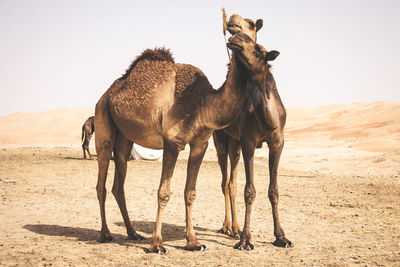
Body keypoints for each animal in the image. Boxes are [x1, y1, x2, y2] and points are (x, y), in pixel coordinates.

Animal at [94, 31, 278, 253]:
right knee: (101, 181)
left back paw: (132, 233)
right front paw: (157, 244)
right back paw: (105, 234)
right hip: (103, 118)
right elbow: (163, 192)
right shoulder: (171, 143)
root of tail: (108, 94)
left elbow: (190, 192)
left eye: (258, 49)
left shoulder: (200, 143)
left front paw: (193, 242)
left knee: (118, 183)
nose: (238, 38)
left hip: (124, 138)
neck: (203, 104)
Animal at [212, 12, 294, 249]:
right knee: (225, 181)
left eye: (259, 50)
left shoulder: (277, 143)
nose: (236, 38)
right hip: (221, 139)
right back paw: (229, 227)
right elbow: (250, 191)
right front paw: (246, 240)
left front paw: (281, 237)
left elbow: (273, 190)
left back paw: (235, 228)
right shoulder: (249, 141)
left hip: (235, 143)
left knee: (231, 181)